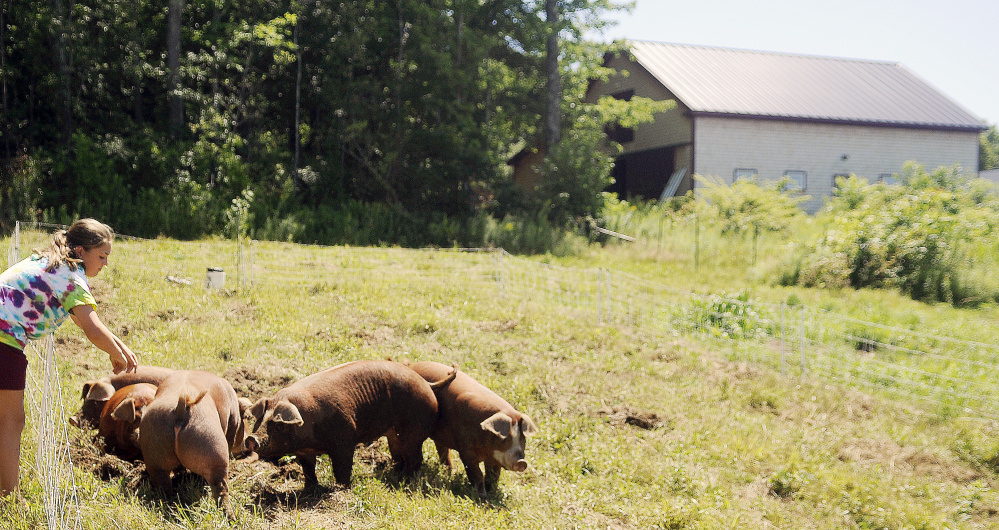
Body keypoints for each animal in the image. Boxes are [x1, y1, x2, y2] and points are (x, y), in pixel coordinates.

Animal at [139, 368, 246, 512]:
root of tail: (180, 409)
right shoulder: (233, 422)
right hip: (212, 443)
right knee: (221, 490)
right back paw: (229, 515)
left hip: (153, 453)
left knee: (164, 486)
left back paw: (170, 503)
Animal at [246, 358, 454, 486]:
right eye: (260, 420)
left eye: (279, 424)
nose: (251, 438)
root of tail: (427, 384)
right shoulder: (304, 452)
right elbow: (308, 470)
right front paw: (311, 489)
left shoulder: (345, 440)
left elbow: (342, 469)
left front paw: (341, 488)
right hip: (394, 434)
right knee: (399, 454)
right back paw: (395, 474)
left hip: (415, 430)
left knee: (416, 458)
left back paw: (406, 481)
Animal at [410, 358, 544, 490]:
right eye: (504, 439)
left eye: (523, 439)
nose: (521, 462)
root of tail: (413, 365)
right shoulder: (465, 450)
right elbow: (476, 474)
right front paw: (481, 494)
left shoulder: (494, 459)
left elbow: (493, 475)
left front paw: (491, 492)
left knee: (442, 449)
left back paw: (449, 472)